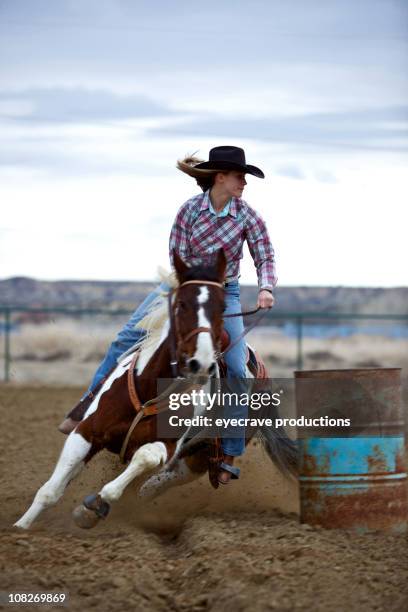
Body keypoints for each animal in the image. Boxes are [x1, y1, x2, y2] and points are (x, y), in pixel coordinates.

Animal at [15, 250, 296, 532]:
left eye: (222, 308)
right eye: (181, 304)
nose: (201, 363)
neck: (149, 390)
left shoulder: (168, 445)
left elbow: (145, 457)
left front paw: (93, 507)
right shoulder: (86, 431)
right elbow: (50, 490)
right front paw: (20, 528)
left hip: (200, 456)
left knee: (160, 482)